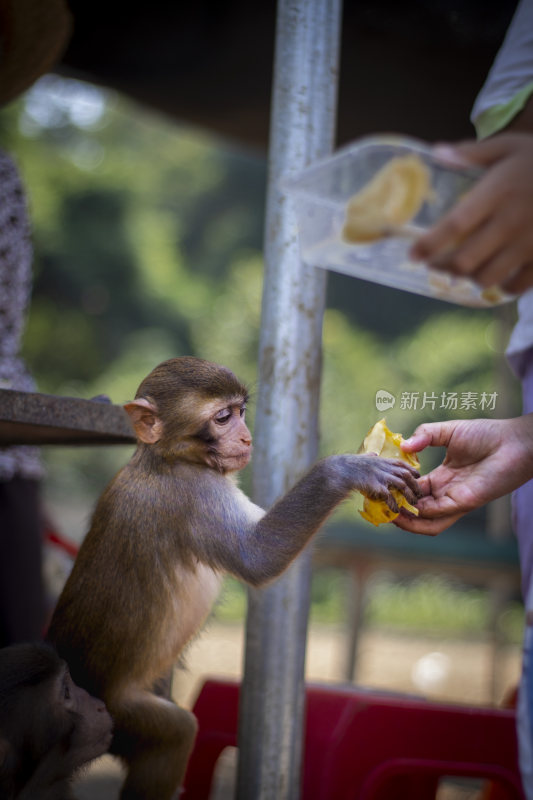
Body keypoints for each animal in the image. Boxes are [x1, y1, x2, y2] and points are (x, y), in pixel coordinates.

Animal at [46, 358, 420, 800]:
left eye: (241, 411)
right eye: (223, 417)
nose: (246, 435)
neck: (165, 457)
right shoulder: (194, 494)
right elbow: (257, 555)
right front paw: (345, 470)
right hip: (115, 715)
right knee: (173, 733)